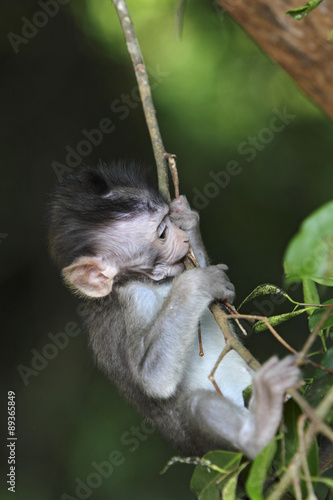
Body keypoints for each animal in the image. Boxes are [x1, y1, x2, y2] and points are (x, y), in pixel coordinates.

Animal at [48, 162, 300, 458]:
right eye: (162, 233)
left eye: (168, 219)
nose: (182, 237)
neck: (142, 281)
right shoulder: (135, 300)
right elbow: (151, 377)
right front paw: (195, 283)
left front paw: (188, 219)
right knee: (196, 404)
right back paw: (259, 430)